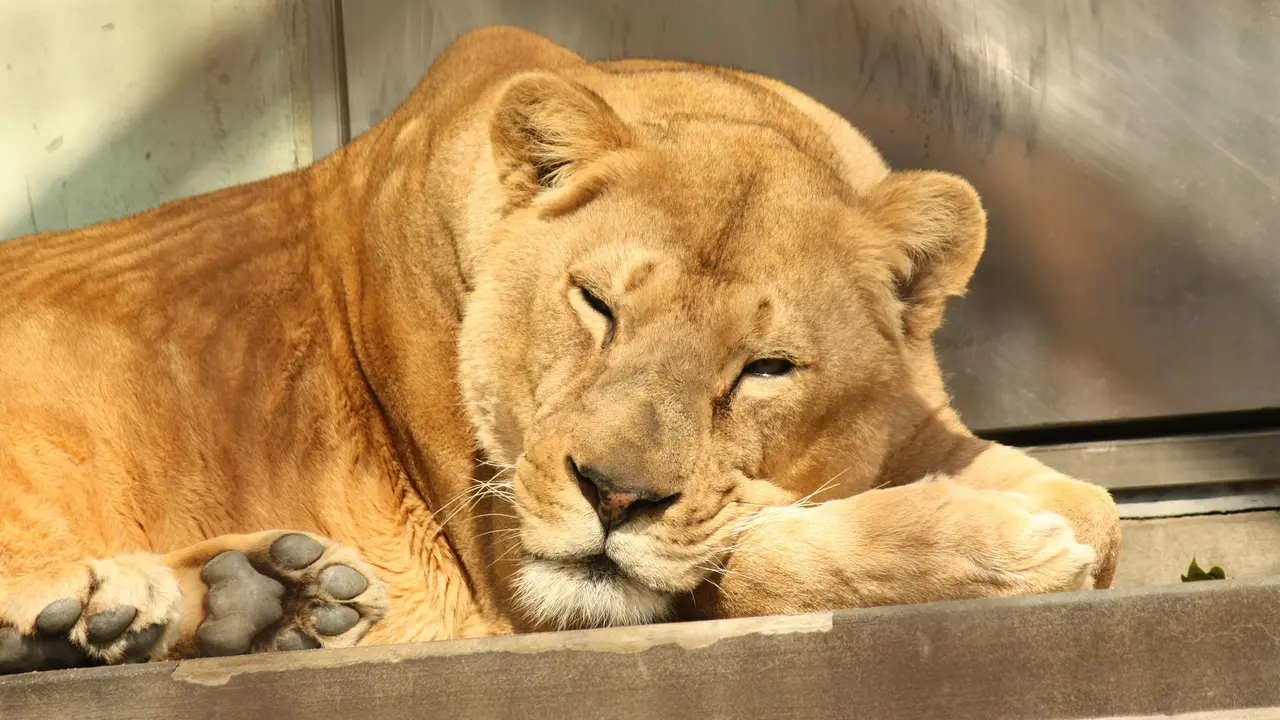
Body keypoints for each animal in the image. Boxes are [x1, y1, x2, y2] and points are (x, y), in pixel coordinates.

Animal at [0, 25, 1116, 671]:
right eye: (596, 305)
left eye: (766, 369)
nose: (615, 496)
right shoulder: (513, 572)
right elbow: (740, 565)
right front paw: (996, 548)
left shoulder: (926, 428)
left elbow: (1102, 513)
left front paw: (1048, 521)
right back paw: (105, 606)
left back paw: (249, 599)